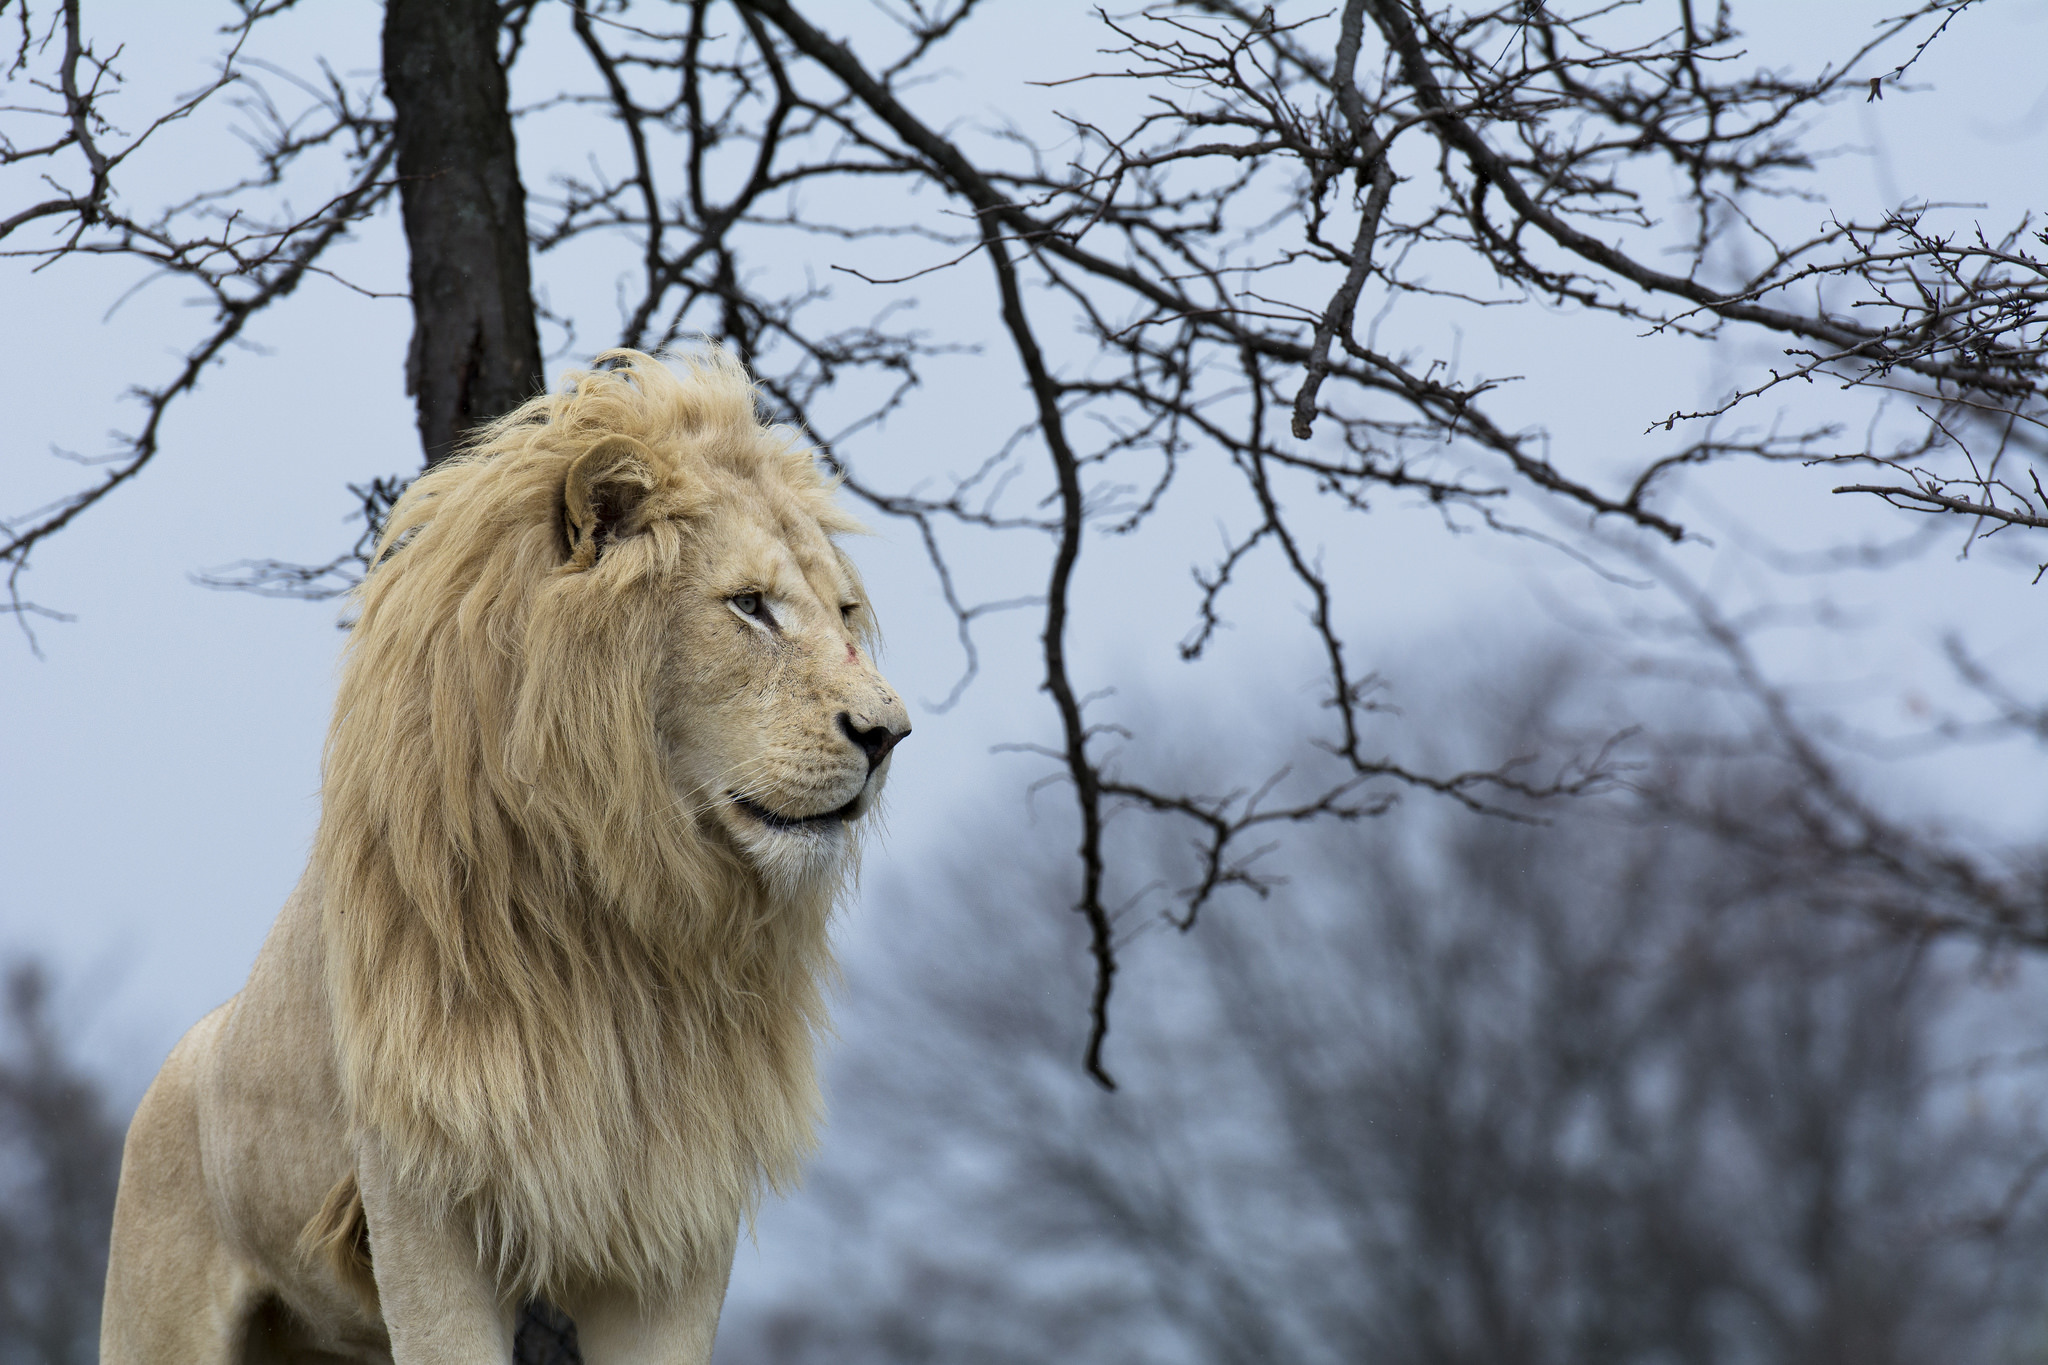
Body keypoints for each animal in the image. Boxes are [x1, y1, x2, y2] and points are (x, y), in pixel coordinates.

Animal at [99, 351, 909, 1365]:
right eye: (750, 606)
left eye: (843, 611)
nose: (889, 734)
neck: (626, 908)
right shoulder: (421, 1197)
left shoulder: (678, 1204)